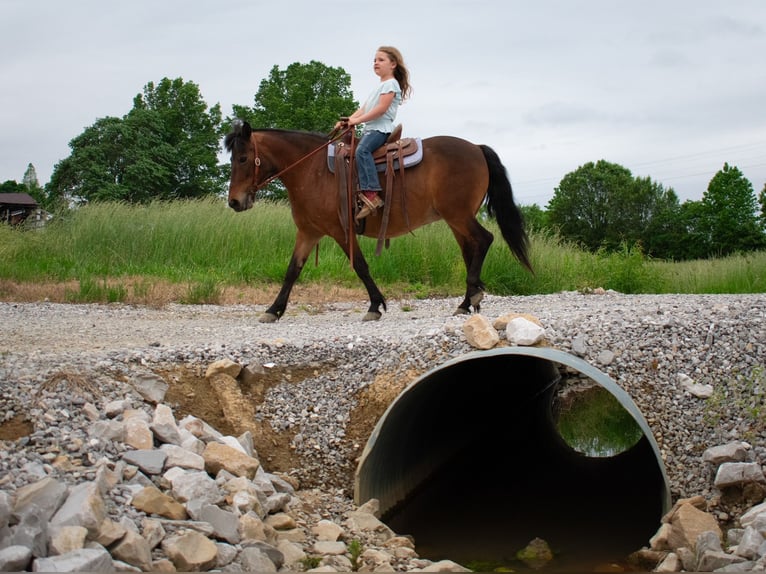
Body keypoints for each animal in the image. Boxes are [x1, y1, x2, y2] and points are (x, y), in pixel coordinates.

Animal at [225, 120, 532, 324]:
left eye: (243, 158)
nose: (234, 202)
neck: (311, 171)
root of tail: (476, 148)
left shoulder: (341, 231)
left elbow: (360, 266)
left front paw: (375, 306)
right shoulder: (308, 233)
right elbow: (292, 271)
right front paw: (273, 310)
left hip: (458, 215)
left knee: (484, 240)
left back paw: (472, 297)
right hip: (457, 219)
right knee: (471, 249)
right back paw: (467, 302)